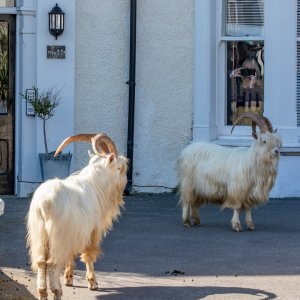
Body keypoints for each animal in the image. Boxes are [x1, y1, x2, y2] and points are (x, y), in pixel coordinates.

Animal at [26, 134, 127, 300]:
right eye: (119, 168)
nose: (125, 182)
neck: (95, 184)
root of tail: (44, 203)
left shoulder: (74, 233)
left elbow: (71, 255)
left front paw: (69, 279)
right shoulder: (91, 230)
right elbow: (88, 255)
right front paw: (93, 283)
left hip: (39, 234)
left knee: (41, 262)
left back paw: (42, 292)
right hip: (57, 236)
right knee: (52, 263)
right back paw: (57, 292)